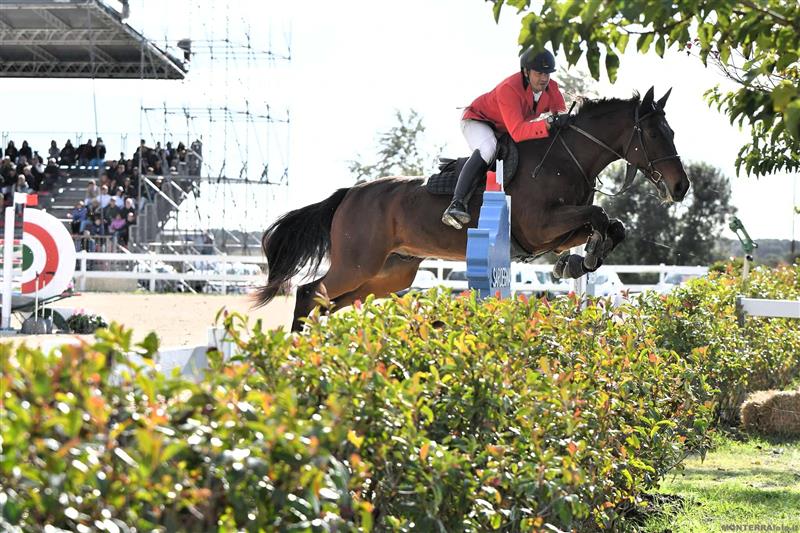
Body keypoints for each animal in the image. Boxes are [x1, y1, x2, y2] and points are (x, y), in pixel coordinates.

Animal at [255, 87, 688, 328]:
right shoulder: (541, 226)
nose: (681, 187)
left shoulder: (558, 232)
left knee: (326, 303)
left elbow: (612, 224)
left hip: (387, 275)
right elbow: (600, 216)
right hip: (357, 264)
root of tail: (348, 194)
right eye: (653, 134)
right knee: (309, 293)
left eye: (672, 131)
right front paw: (585, 259)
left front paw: (580, 262)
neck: (566, 157)